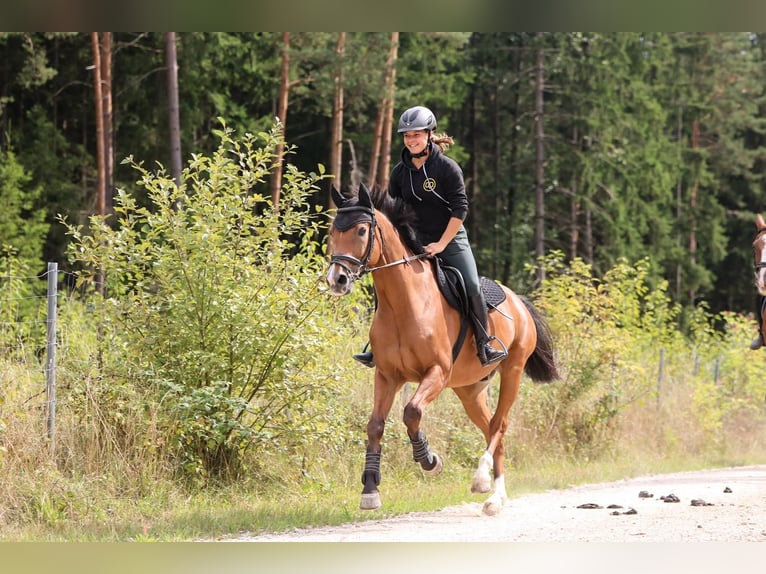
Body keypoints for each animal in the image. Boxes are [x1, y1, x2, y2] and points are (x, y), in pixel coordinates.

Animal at [325, 183, 559, 516]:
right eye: (334, 230)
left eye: (360, 230)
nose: (337, 279)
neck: (403, 302)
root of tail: (518, 301)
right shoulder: (387, 375)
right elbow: (375, 425)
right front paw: (370, 490)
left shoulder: (436, 371)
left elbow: (411, 412)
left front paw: (429, 460)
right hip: (469, 390)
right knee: (490, 428)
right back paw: (495, 496)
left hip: (512, 370)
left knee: (499, 425)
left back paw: (484, 482)